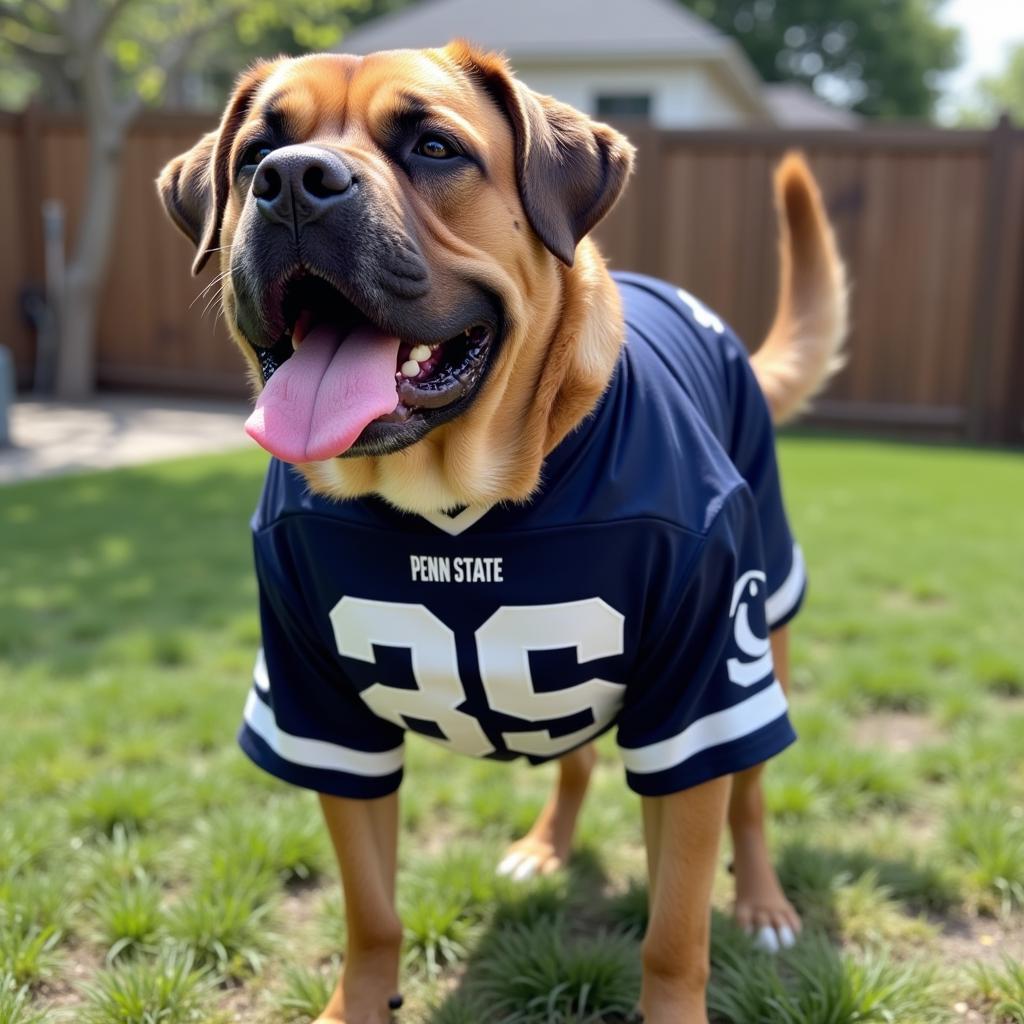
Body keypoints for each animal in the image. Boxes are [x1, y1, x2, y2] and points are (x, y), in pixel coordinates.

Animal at [155, 41, 843, 1024]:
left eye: (435, 147)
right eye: (253, 156)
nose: (291, 182)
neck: (446, 494)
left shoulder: (700, 690)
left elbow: (675, 932)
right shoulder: (321, 711)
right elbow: (371, 913)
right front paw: (359, 1000)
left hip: (761, 640)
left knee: (746, 794)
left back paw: (762, 902)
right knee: (576, 764)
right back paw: (547, 843)